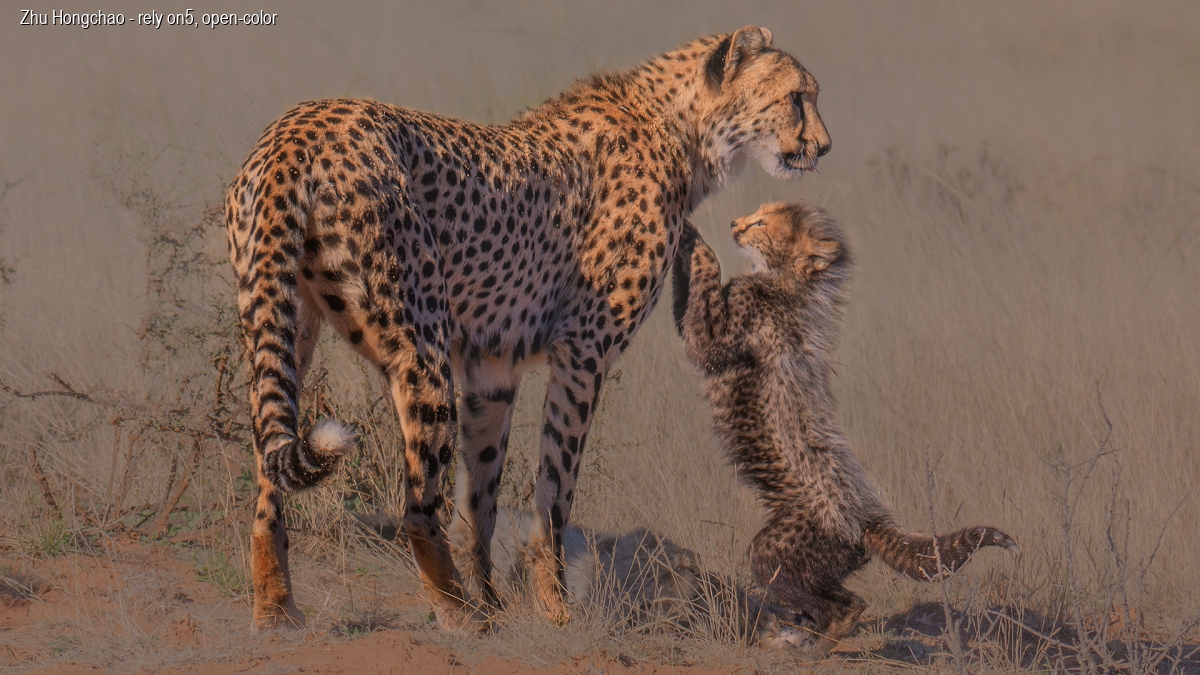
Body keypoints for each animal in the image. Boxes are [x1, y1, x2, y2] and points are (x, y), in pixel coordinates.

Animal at [224, 26, 832, 632]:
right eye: (796, 97)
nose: (824, 147)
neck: (680, 130)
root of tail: (299, 126)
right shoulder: (585, 351)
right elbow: (555, 492)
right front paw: (553, 609)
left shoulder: (493, 370)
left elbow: (482, 502)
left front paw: (499, 598)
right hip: (421, 347)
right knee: (416, 509)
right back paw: (462, 616)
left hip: (283, 328)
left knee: (269, 479)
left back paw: (277, 609)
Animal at [672, 201, 1019, 658]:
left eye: (762, 222)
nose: (735, 224)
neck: (786, 285)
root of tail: (867, 518)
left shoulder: (725, 335)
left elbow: (702, 331)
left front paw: (695, 240)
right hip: (820, 561)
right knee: (830, 599)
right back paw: (797, 634)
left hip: (784, 548)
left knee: (846, 603)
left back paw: (815, 642)